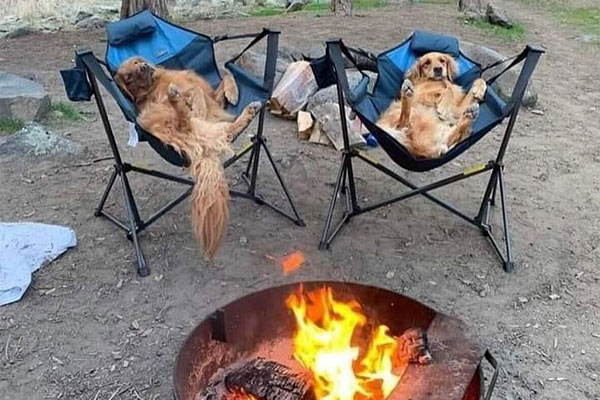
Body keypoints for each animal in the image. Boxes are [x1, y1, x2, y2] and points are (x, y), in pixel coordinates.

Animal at [115, 57, 260, 260]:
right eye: (129, 77)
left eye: (136, 62)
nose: (144, 67)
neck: (156, 82)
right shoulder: (195, 96)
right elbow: (197, 92)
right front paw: (196, 106)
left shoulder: (213, 97)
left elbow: (226, 75)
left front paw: (232, 93)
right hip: (164, 119)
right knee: (185, 121)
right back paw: (176, 100)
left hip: (202, 129)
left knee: (225, 131)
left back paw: (249, 110)